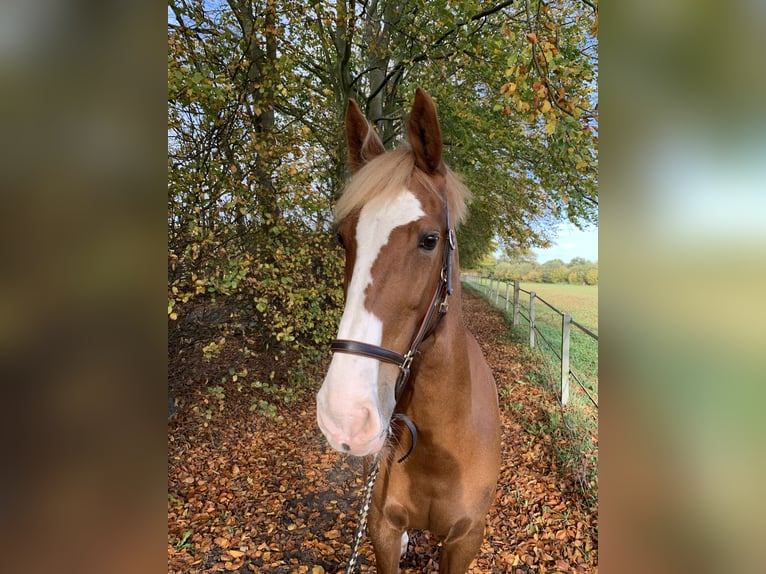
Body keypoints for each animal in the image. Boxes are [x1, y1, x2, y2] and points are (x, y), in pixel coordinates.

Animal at [318, 88, 504, 572]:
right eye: (343, 239)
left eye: (429, 240)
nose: (344, 415)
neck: (442, 451)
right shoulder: (382, 528)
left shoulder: (466, 539)